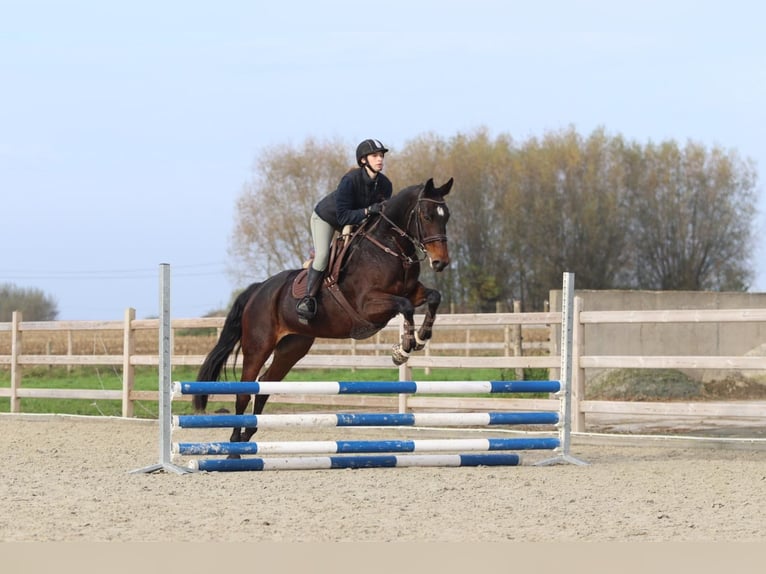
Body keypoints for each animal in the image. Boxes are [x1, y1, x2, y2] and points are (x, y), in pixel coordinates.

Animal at [195, 178, 452, 448]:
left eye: (446, 216)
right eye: (426, 215)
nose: (441, 262)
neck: (389, 248)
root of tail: (258, 290)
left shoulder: (412, 291)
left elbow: (433, 297)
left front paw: (421, 338)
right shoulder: (368, 305)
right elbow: (406, 306)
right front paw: (402, 350)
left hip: (292, 347)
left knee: (265, 384)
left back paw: (248, 434)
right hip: (258, 346)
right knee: (245, 389)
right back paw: (235, 444)